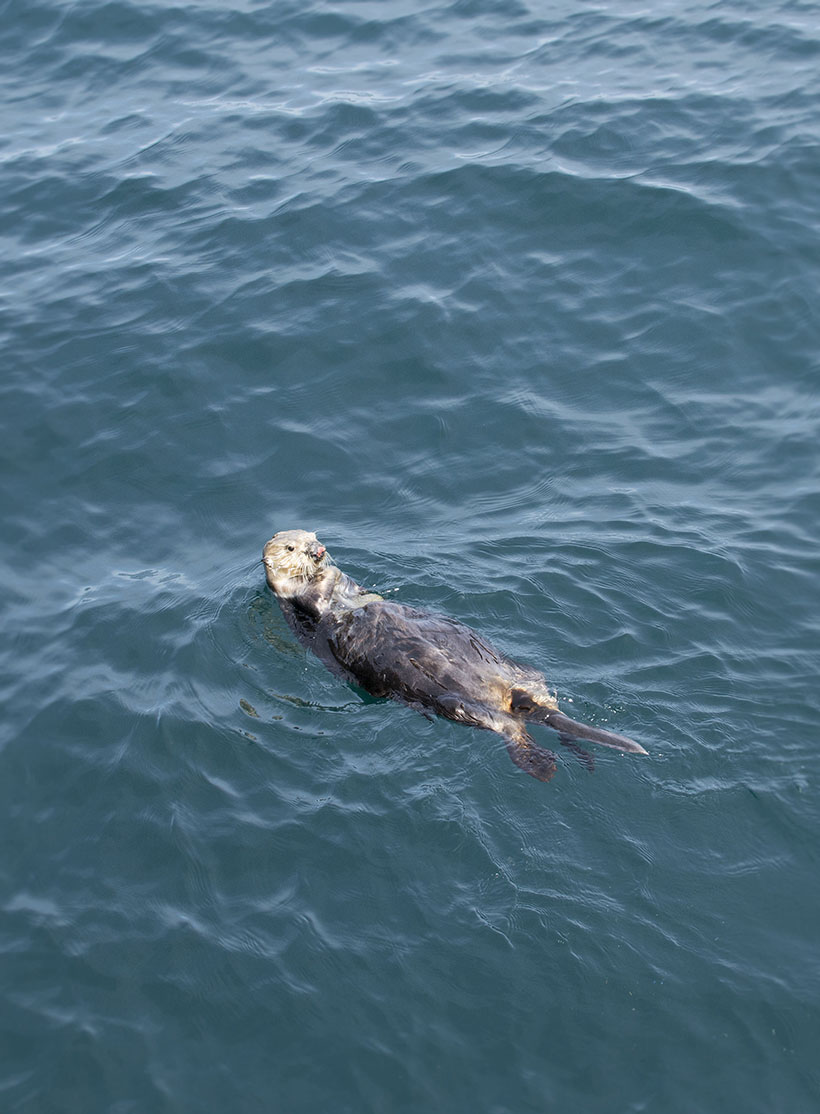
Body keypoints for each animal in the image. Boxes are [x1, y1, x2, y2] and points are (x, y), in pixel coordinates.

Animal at [261, 529, 647, 783]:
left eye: (313, 535)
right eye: (292, 546)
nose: (318, 550)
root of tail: (515, 698)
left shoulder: (350, 588)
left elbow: (356, 589)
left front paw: (331, 569)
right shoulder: (303, 604)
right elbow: (318, 600)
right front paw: (322, 574)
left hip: (523, 674)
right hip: (465, 706)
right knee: (511, 730)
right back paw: (543, 764)